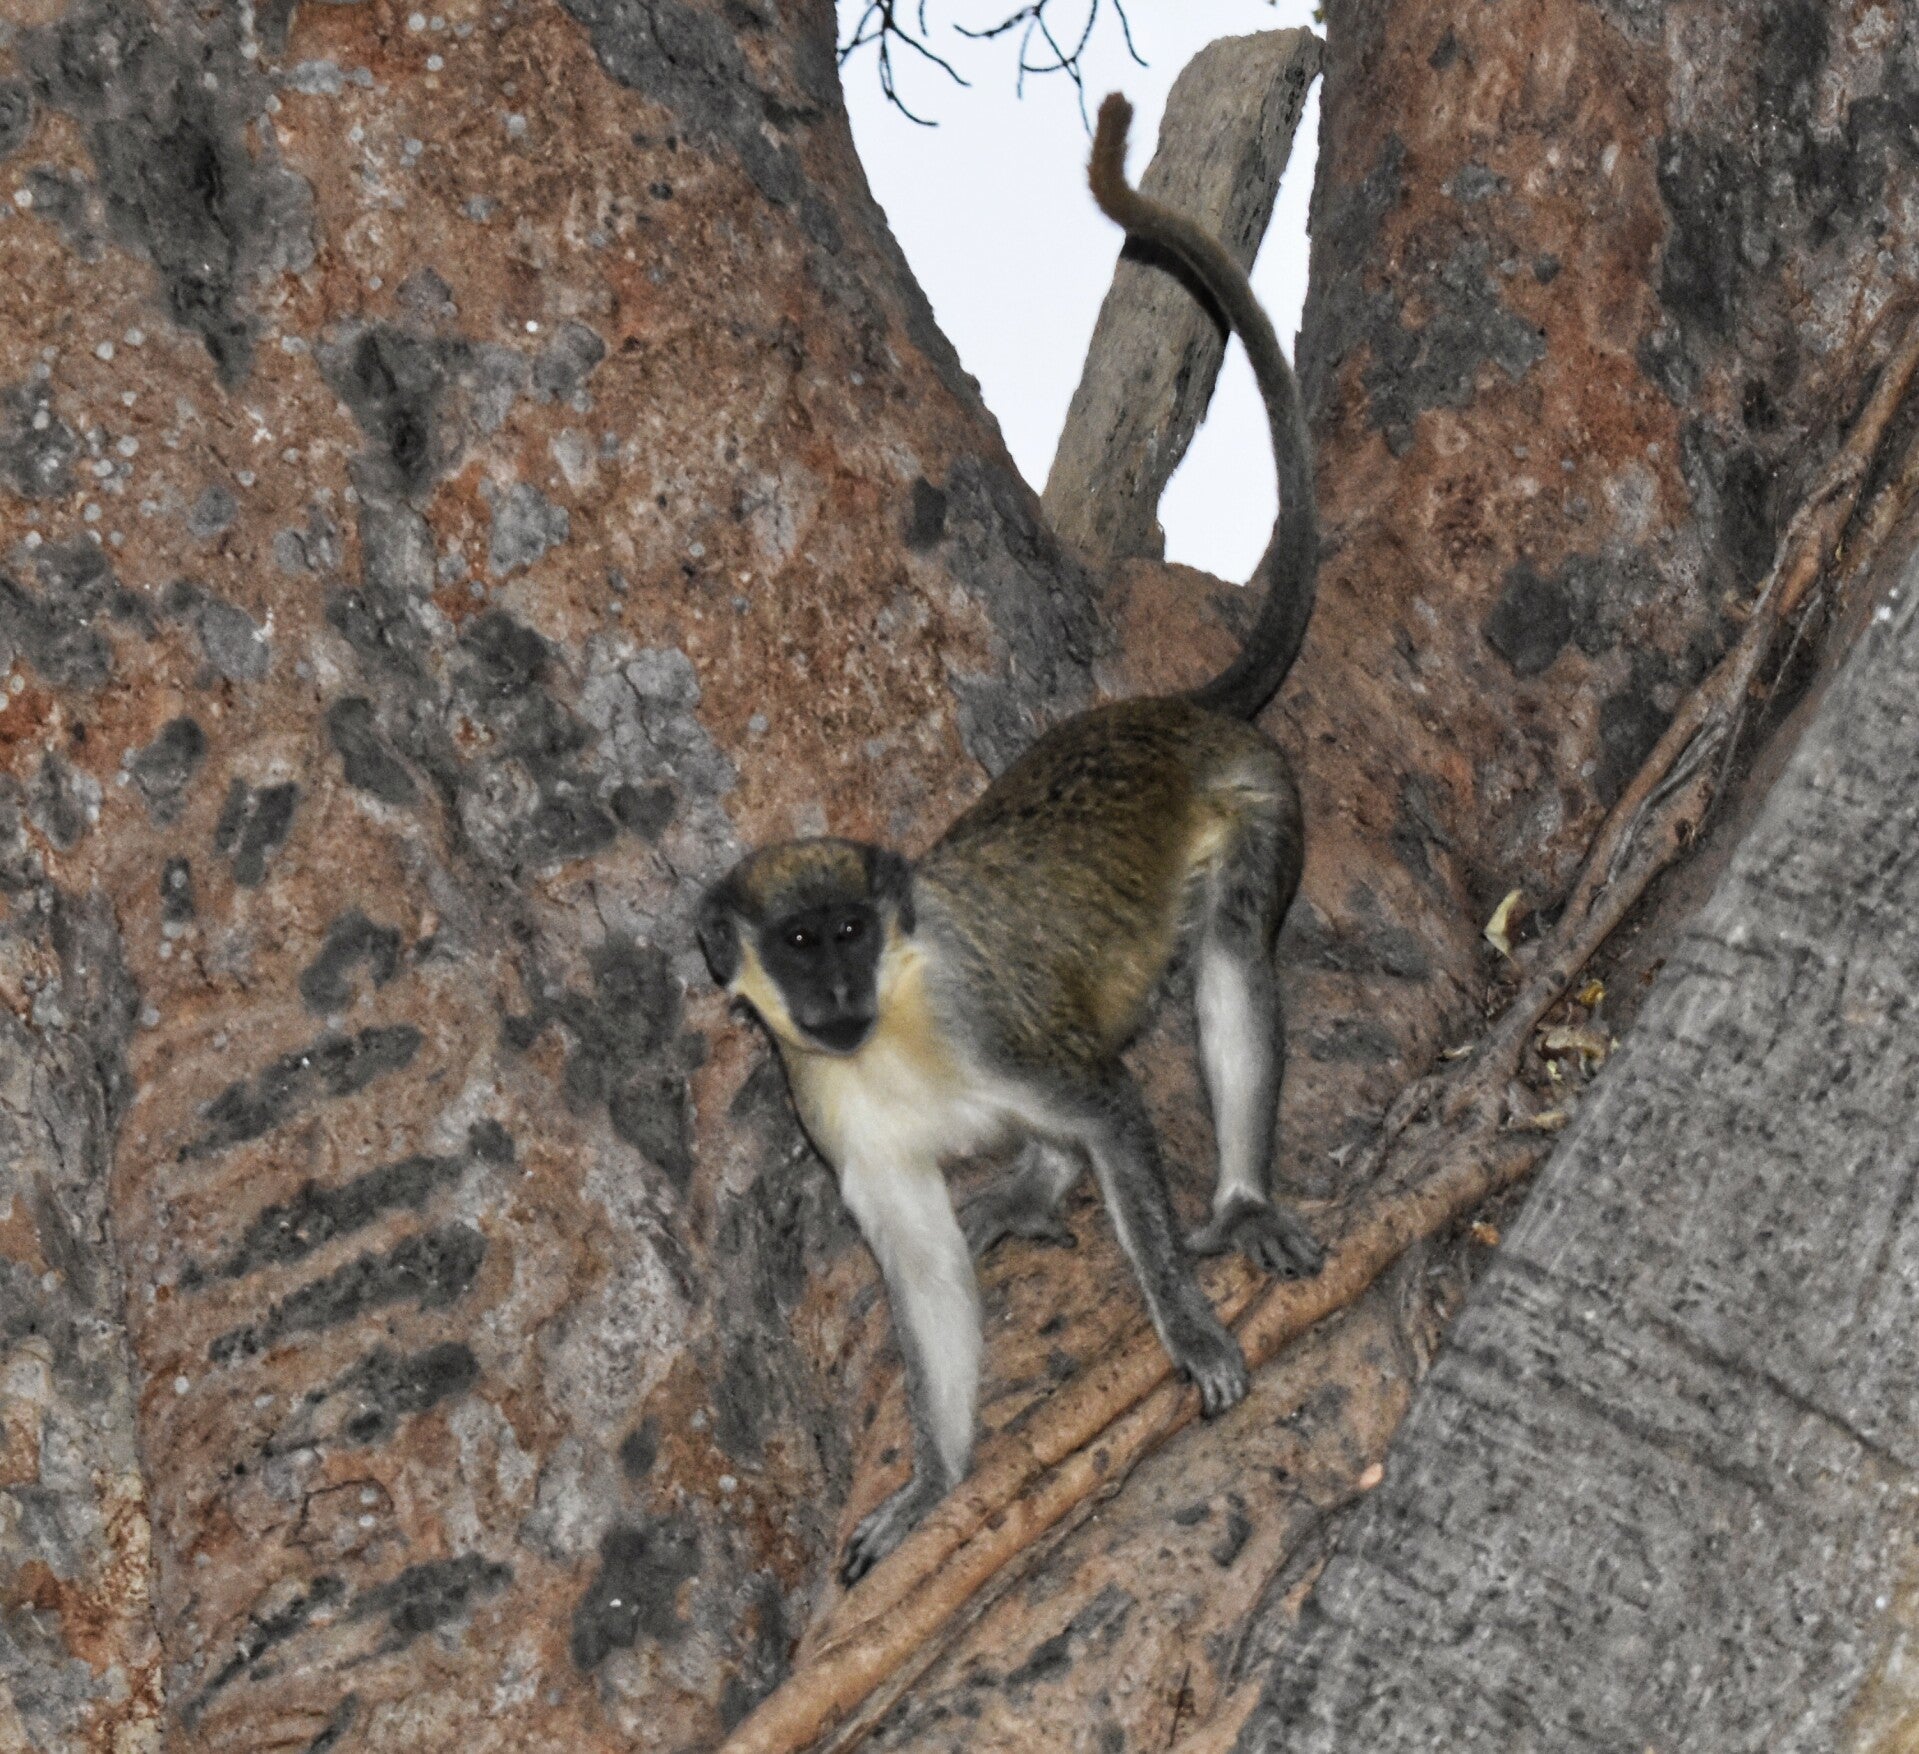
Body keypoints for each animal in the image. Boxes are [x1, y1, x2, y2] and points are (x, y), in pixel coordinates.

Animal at [697, 93, 1322, 1587]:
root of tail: (1162, 712)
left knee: (1223, 958)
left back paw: (1232, 1200)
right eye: (795, 944)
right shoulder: (827, 1108)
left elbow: (1110, 1104)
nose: (833, 989)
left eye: (847, 930)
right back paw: (1037, 1189)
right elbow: (919, 1266)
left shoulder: (986, 1015)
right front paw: (934, 1479)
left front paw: (1188, 1330)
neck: (895, 1021)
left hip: (1256, 795)